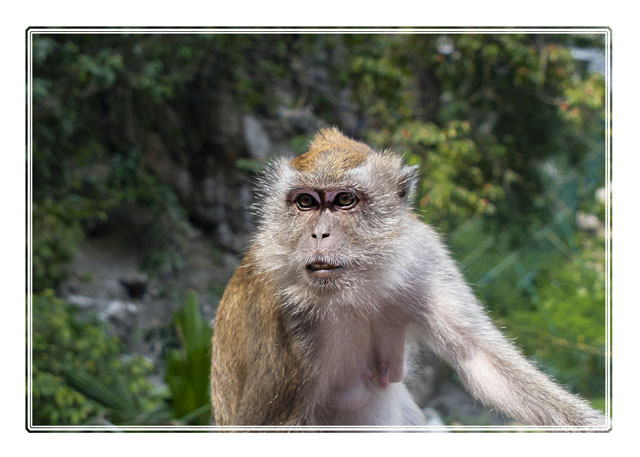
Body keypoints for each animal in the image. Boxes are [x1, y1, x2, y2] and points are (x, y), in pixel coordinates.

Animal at [210, 127, 605, 427]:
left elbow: (480, 359)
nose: (318, 234)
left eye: (344, 201)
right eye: (305, 202)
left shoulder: (423, 256)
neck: (358, 283)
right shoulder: (286, 310)